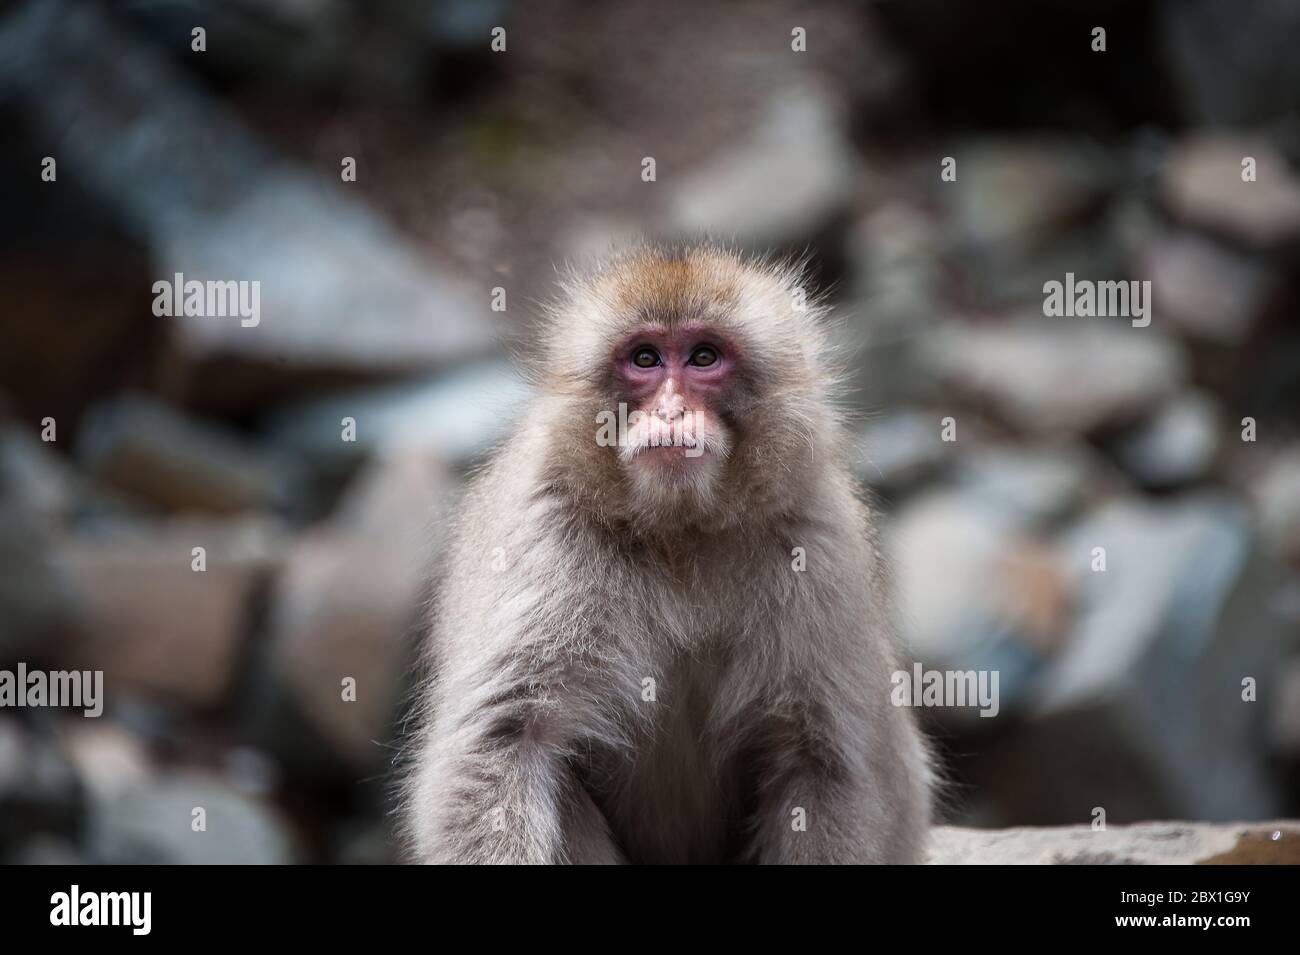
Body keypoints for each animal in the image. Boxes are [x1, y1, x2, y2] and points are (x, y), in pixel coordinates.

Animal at [400, 242, 930, 862]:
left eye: (703, 357)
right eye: (646, 358)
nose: (672, 412)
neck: (680, 535)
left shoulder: (819, 544)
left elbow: (819, 759)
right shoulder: (541, 535)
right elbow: (502, 740)